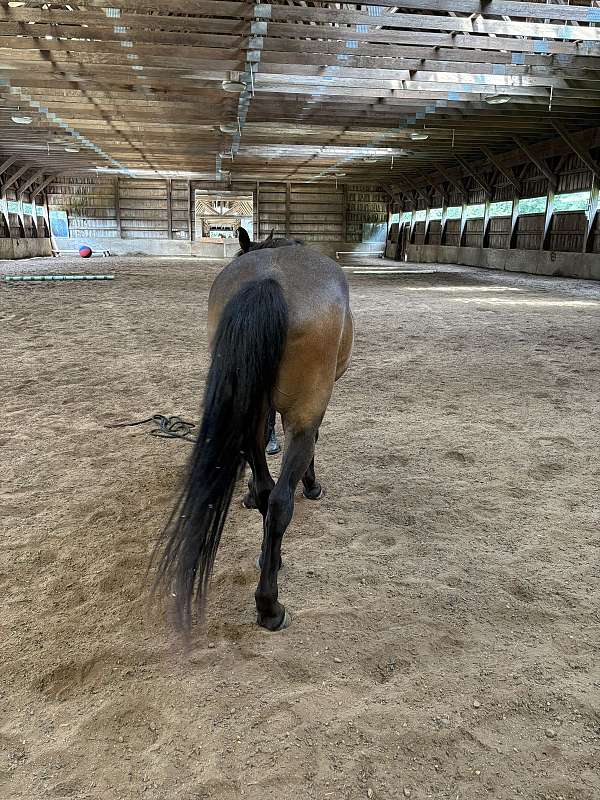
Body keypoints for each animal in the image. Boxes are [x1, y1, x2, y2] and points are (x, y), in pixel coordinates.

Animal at [153, 227, 353, 632]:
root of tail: (268, 280)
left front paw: (246, 492)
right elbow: (311, 443)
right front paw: (312, 485)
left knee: (265, 489)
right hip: (304, 408)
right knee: (278, 501)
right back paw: (269, 606)